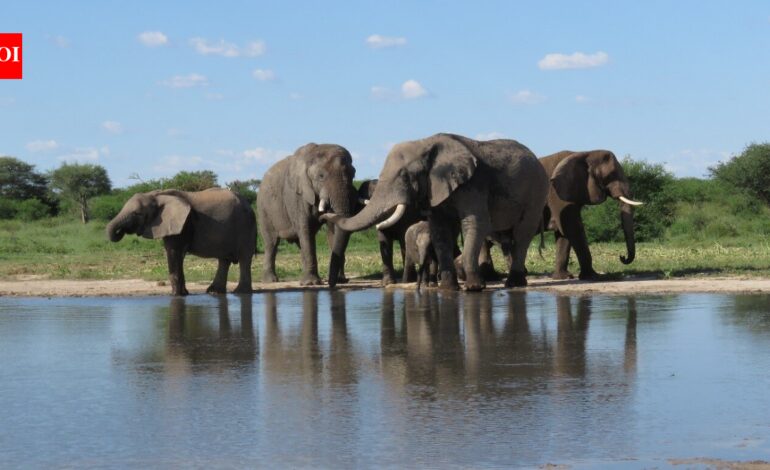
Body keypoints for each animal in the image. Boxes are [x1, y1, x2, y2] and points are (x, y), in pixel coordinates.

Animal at [106, 188, 256, 296]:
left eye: (138, 214)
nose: (121, 231)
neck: (157, 195)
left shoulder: (181, 224)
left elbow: (173, 252)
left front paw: (175, 295)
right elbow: (178, 255)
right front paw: (184, 294)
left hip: (245, 225)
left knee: (244, 258)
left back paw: (240, 293)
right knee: (224, 260)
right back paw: (214, 292)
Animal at [258, 143, 357, 287]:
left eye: (353, 174)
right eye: (321, 176)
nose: (330, 283)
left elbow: (332, 229)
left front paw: (340, 281)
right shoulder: (295, 195)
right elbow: (305, 228)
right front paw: (311, 283)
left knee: (301, 243)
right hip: (263, 209)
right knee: (271, 243)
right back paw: (270, 281)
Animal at [323, 133, 548, 291]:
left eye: (404, 176)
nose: (324, 213)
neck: (425, 143)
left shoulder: (473, 185)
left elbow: (475, 224)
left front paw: (474, 288)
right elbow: (440, 230)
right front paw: (448, 289)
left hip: (536, 192)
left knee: (523, 232)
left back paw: (514, 283)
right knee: (509, 237)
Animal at [540, 150, 643, 280]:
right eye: (611, 176)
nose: (622, 257)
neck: (585, 153)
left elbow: (564, 234)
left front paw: (564, 277)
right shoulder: (557, 195)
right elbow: (572, 228)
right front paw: (593, 276)